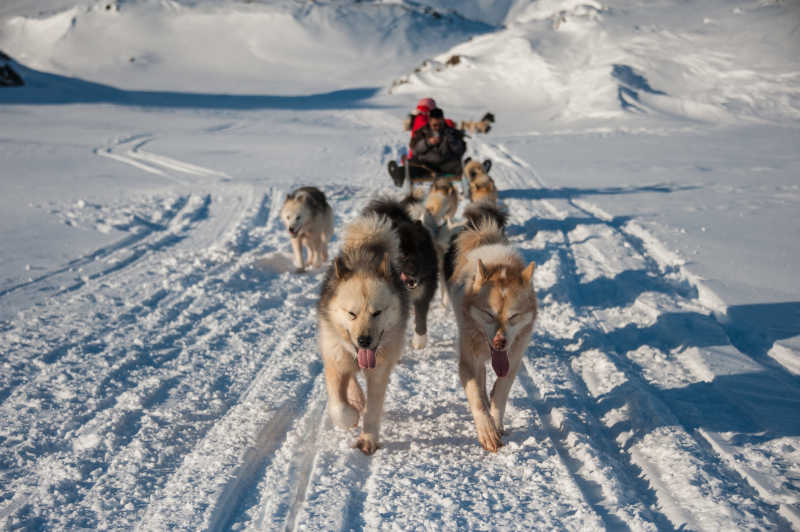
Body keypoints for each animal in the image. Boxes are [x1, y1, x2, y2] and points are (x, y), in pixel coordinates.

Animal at [318, 214, 410, 456]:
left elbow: (373, 408)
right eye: (352, 313)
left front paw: (368, 438)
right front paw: (350, 415)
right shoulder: (335, 360)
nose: (364, 341)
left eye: (377, 312)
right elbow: (339, 406)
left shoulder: (379, 371)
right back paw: (356, 399)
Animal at [362, 198, 438, 350]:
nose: (414, 271)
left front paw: (419, 341)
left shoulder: (423, 295)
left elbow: (420, 319)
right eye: (402, 255)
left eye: (419, 251)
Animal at [444, 204, 536, 454]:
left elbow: (500, 393)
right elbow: (476, 396)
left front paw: (496, 421)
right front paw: (487, 431)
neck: (501, 268)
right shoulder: (467, 361)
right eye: (488, 314)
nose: (499, 342)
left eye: (513, 316)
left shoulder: (513, 360)